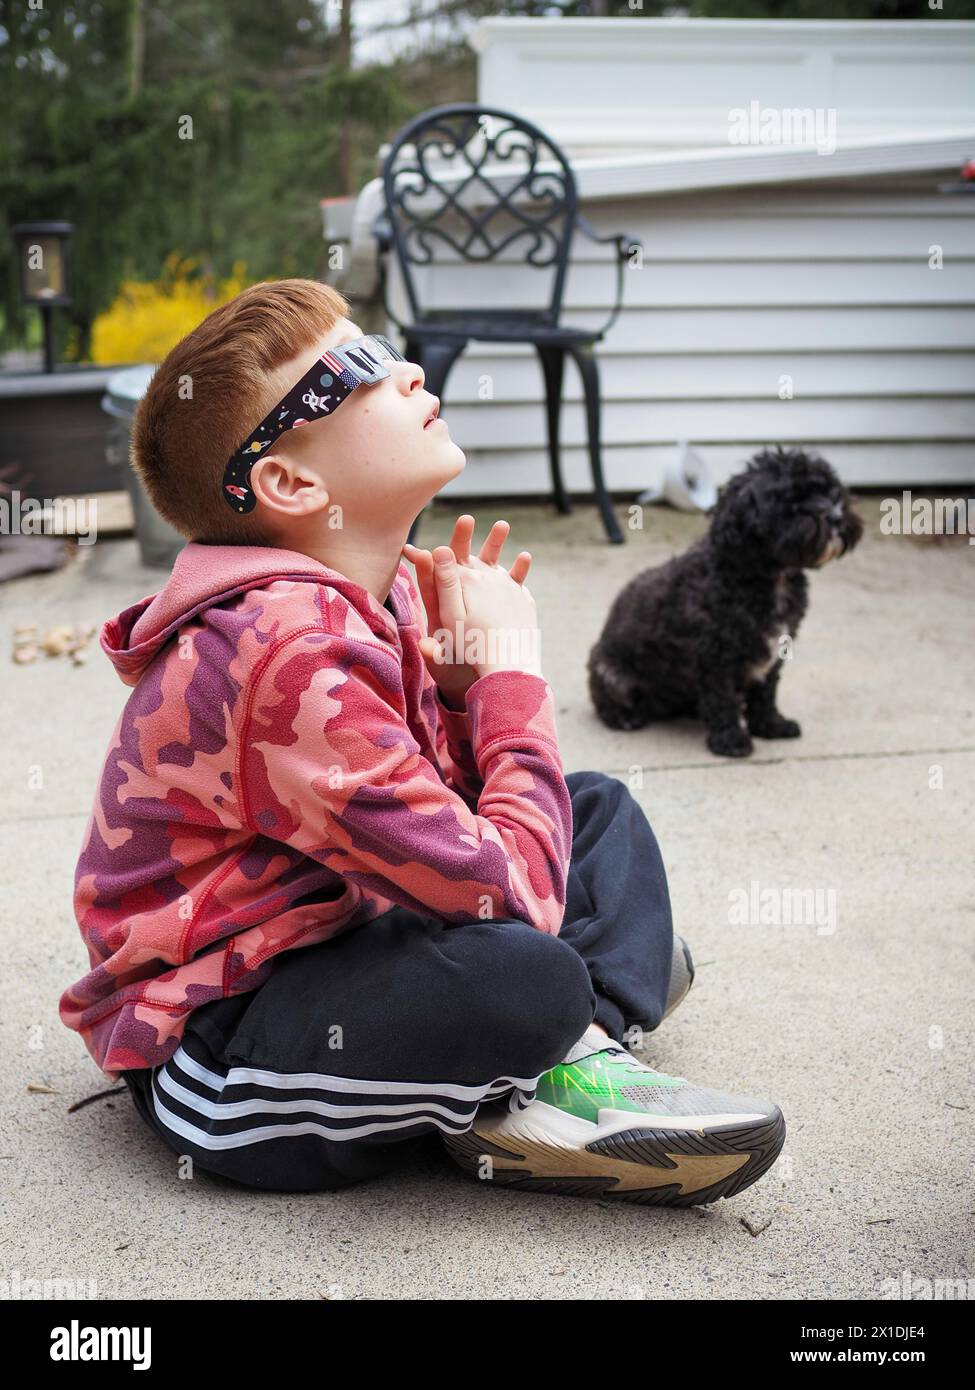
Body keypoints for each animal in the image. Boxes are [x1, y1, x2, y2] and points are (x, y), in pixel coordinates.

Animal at [586, 447, 856, 756]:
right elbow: (721, 697)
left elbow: (765, 692)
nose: (836, 516)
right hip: (610, 672)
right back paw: (623, 716)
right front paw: (732, 739)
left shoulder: (774, 653)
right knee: (607, 701)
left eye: (831, 491)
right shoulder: (714, 656)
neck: (765, 576)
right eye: (792, 500)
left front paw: (771, 725)